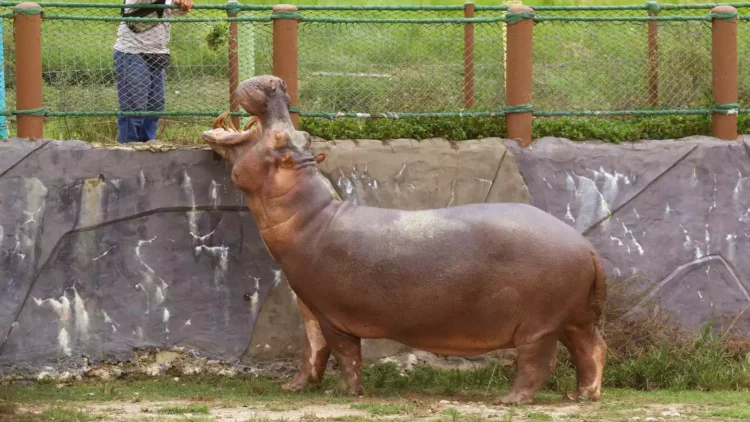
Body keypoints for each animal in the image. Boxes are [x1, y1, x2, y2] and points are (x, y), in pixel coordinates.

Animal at [201, 75, 608, 405]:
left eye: (281, 138)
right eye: (302, 137)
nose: (277, 84)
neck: (311, 215)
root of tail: (585, 246)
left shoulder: (333, 316)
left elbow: (345, 355)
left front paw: (345, 393)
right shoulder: (310, 308)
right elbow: (312, 352)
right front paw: (295, 388)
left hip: (539, 326)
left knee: (540, 362)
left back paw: (510, 400)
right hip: (573, 317)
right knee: (592, 349)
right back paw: (582, 395)